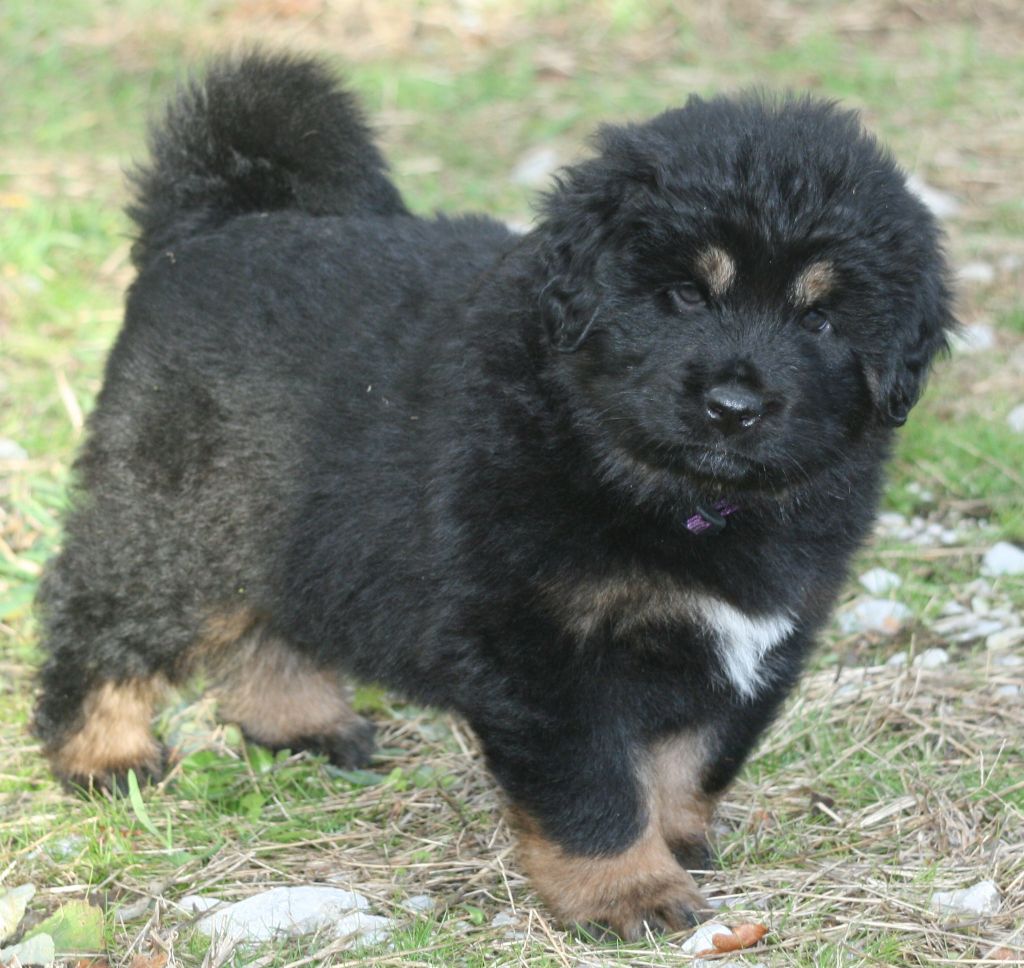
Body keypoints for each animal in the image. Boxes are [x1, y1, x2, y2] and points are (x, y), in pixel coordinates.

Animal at [34, 51, 953, 939]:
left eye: (821, 319)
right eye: (686, 294)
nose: (734, 407)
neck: (668, 486)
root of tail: (217, 223)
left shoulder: (759, 641)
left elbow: (694, 756)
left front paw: (677, 839)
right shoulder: (542, 648)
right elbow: (594, 786)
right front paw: (628, 890)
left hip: (290, 514)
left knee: (270, 619)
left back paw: (302, 722)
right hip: (176, 514)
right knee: (100, 614)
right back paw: (102, 754)